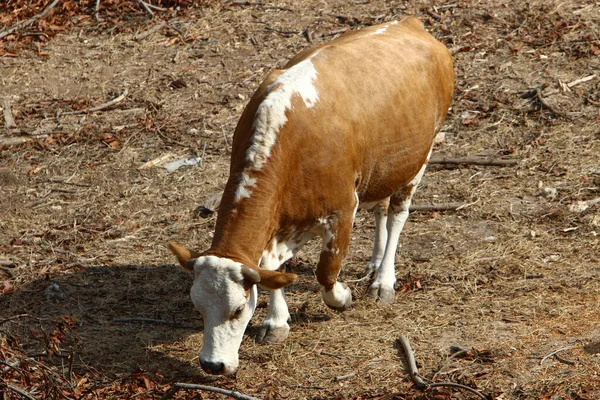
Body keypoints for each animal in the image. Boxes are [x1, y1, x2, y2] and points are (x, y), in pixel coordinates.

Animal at [166, 17, 452, 376]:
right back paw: (374, 261)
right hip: (381, 169)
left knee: (398, 215)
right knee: (381, 209)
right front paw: (276, 322)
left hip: (418, 159)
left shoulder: (343, 209)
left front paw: (342, 297)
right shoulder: (283, 219)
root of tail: (411, 23)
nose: (212, 365)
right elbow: (271, 269)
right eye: (198, 307)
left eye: (238, 309)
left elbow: (326, 271)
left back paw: (384, 280)